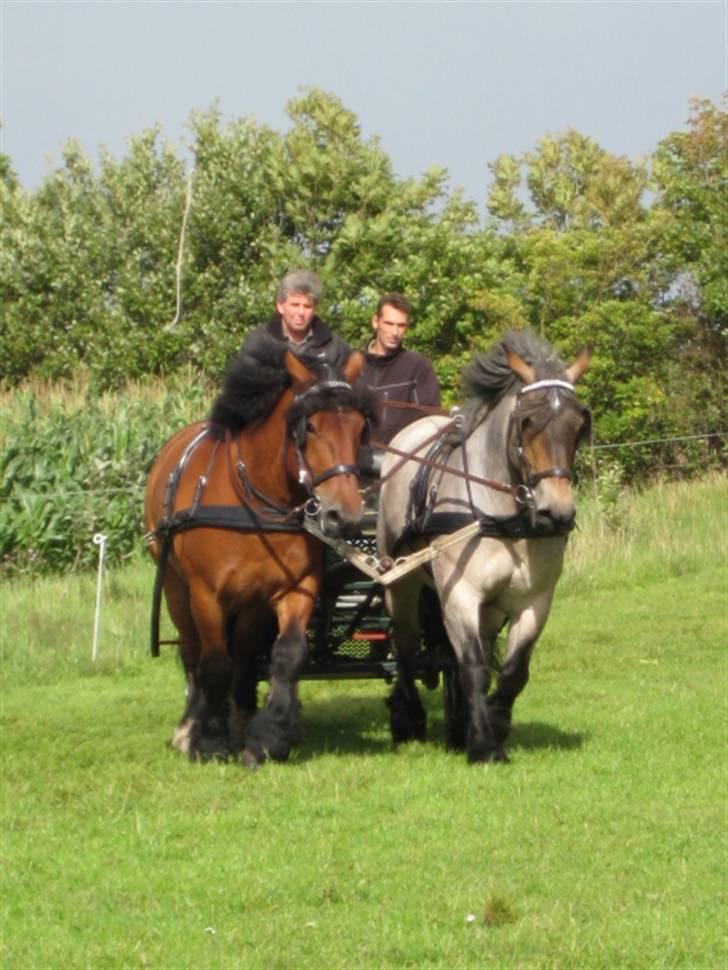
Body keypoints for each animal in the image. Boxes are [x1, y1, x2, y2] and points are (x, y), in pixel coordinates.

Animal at [143, 344, 372, 768]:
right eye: (310, 427)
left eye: (359, 427)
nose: (343, 514)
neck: (256, 502)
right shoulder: (206, 594)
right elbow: (214, 663)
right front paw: (209, 741)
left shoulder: (295, 588)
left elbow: (287, 654)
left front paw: (266, 738)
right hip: (175, 586)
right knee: (193, 652)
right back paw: (190, 727)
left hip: (251, 604)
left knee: (245, 657)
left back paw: (241, 719)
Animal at [376, 332, 592, 764]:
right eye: (527, 422)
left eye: (579, 425)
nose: (556, 513)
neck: (506, 519)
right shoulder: (460, 593)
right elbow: (474, 666)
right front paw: (483, 746)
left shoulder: (535, 600)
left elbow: (512, 671)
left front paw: (493, 721)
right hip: (401, 584)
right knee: (404, 647)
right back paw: (408, 717)